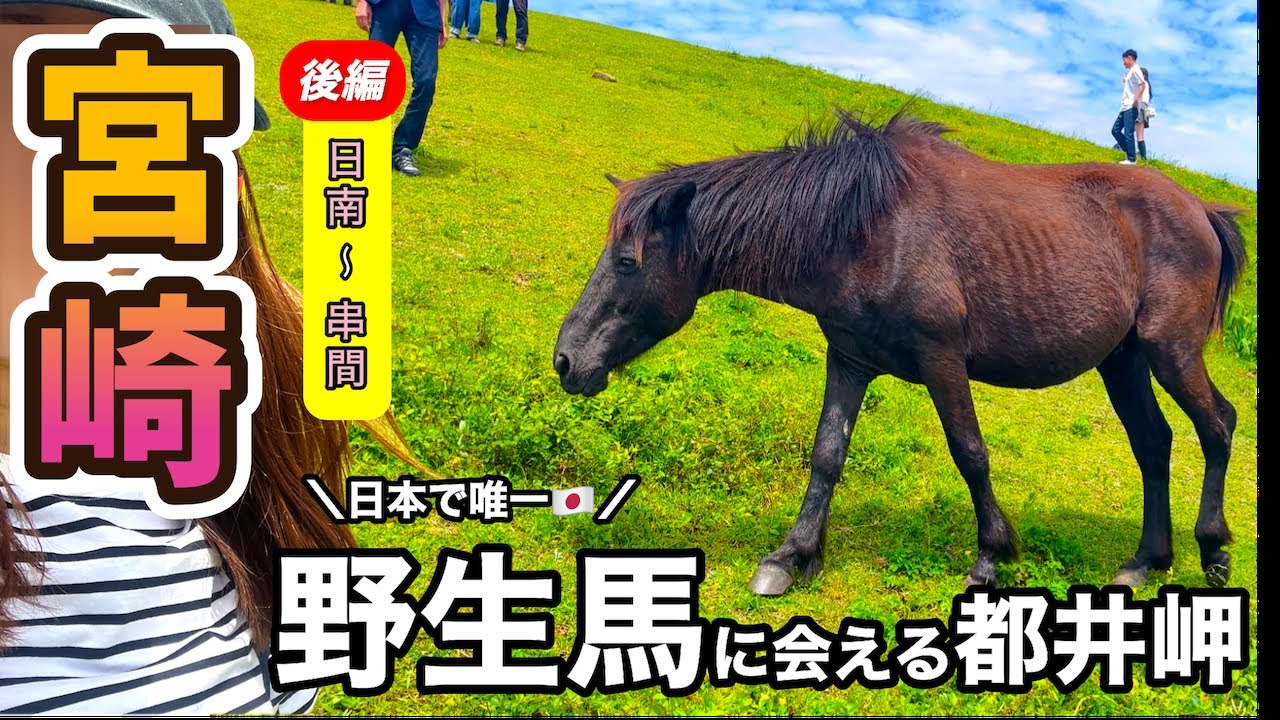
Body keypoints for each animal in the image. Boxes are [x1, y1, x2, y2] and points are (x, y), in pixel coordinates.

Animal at [552, 107, 1247, 594]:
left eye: (626, 262)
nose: (566, 360)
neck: (866, 229)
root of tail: (1200, 207)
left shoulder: (942, 359)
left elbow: (970, 453)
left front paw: (991, 557)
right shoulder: (850, 360)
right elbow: (826, 456)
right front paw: (792, 556)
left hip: (1170, 351)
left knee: (1217, 424)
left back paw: (1212, 549)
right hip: (1122, 360)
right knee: (1154, 443)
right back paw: (1146, 562)